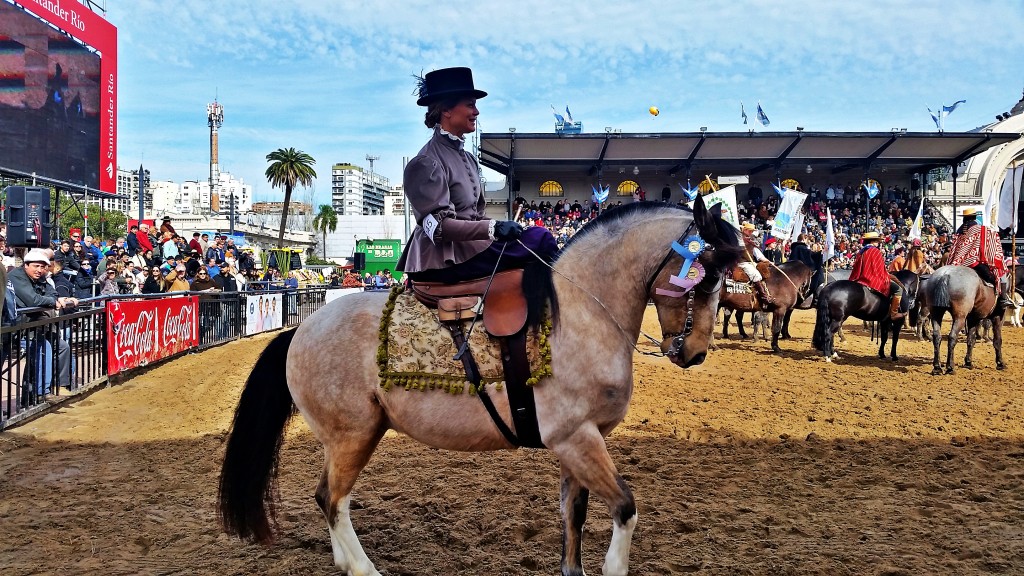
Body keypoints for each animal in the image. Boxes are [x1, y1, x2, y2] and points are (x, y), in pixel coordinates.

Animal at [218, 196, 745, 573]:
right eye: (705, 278)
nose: (695, 352)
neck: (579, 312)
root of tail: (300, 329)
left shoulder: (578, 443)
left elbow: (573, 518)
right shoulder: (576, 438)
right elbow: (625, 509)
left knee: (328, 497)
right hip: (354, 435)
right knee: (332, 499)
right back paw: (364, 568)